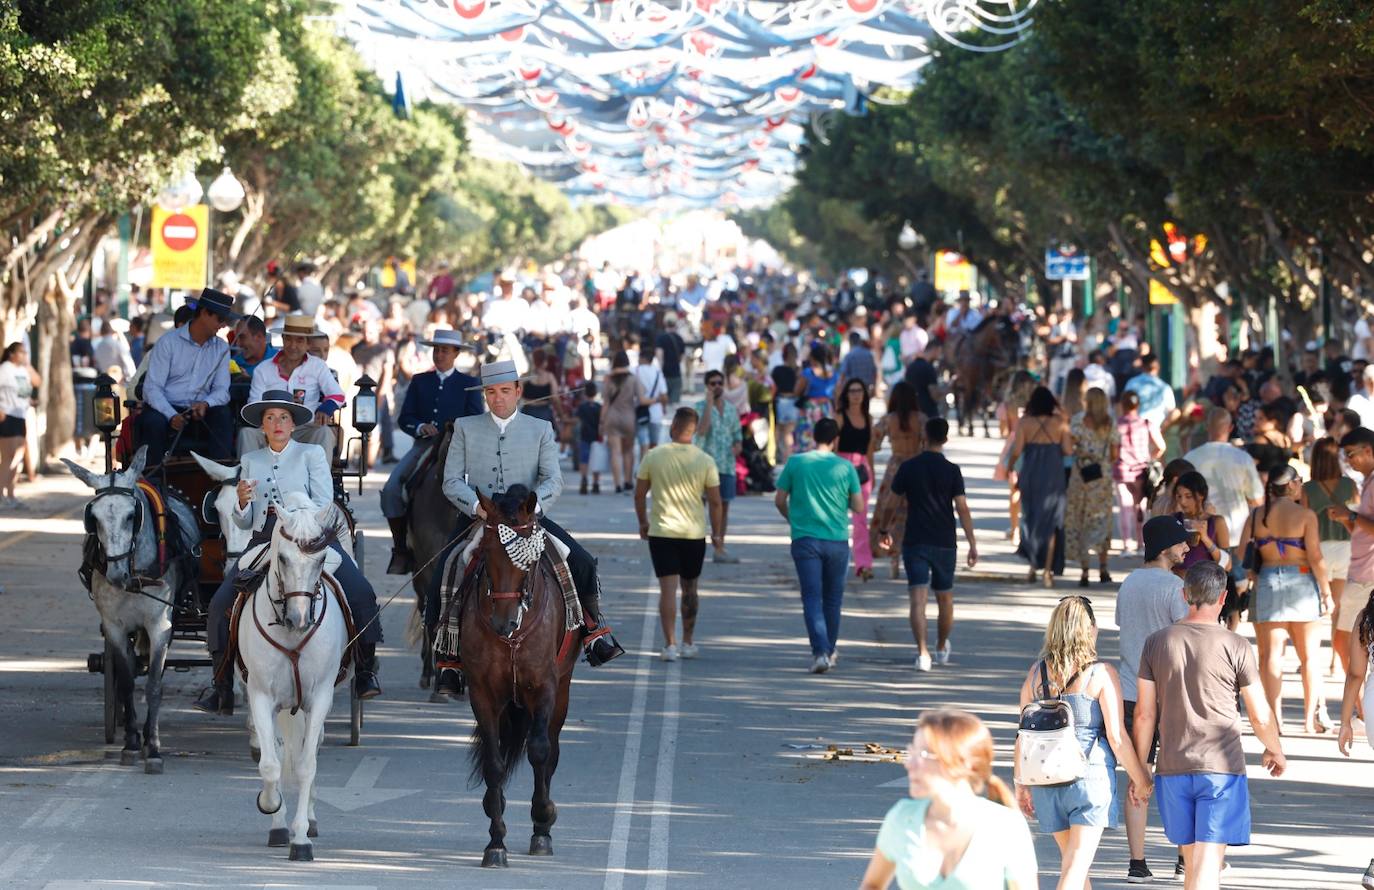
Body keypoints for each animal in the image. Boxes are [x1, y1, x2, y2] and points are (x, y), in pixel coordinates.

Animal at [63, 445, 199, 769]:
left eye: (131, 516)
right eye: (93, 518)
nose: (116, 575)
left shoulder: (161, 625)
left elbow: (154, 685)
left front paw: (154, 745)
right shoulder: (115, 627)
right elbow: (126, 682)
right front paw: (133, 742)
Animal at [237, 494, 343, 862]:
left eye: (321, 558)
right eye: (282, 558)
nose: (299, 619)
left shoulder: (320, 699)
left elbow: (306, 766)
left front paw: (301, 839)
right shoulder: (260, 696)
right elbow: (271, 765)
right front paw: (271, 807)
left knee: (306, 753)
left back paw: (308, 821)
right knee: (282, 756)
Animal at [458, 483, 571, 868]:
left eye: (529, 561)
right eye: (488, 553)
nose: (503, 622)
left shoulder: (545, 687)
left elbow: (539, 751)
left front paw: (543, 821)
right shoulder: (482, 692)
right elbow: (493, 763)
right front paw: (496, 842)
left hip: (562, 693)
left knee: (551, 750)